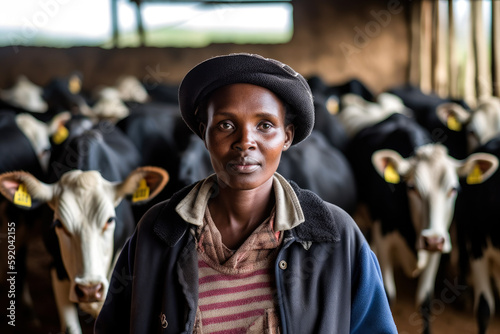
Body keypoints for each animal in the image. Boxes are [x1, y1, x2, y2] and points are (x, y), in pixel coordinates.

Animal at [338, 92, 498, 334]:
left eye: (453, 189)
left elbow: (424, 301)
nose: (432, 239)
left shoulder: (437, 247)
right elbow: (387, 296)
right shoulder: (384, 239)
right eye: (412, 187)